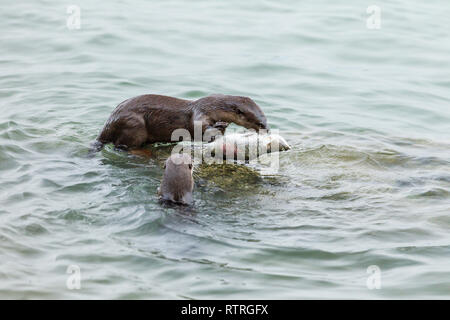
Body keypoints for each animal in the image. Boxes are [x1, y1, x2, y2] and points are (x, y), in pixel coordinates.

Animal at [91, 93, 268, 152]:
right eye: (260, 123)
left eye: (265, 119)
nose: (267, 129)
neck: (212, 107)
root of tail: (109, 122)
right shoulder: (200, 112)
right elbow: (198, 128)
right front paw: (217, 127)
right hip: (133, 124)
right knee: (121, 145)